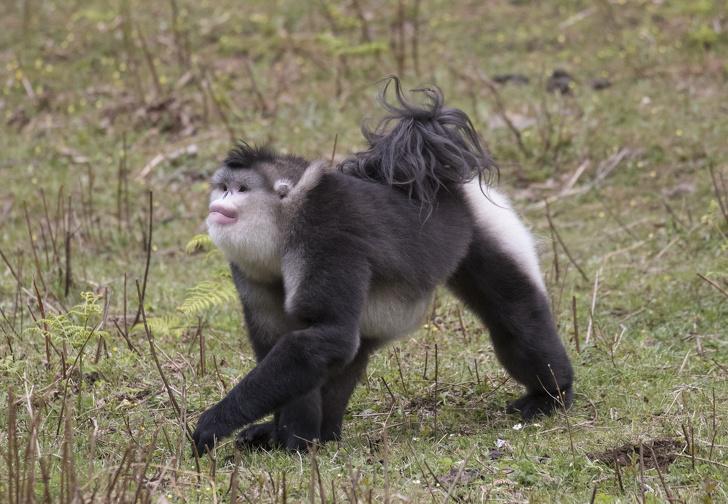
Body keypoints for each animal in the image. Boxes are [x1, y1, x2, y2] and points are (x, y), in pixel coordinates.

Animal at [195, 77, 576, 454]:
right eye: (223, 187)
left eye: (240, 189)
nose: (219, 204)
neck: (286, 222)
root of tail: (445, 183)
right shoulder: (250, 269)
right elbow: (286, 339)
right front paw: (283, 437)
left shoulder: (326, 238)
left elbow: (328, 334)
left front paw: (223, 426)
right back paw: (323, 434)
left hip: (487, 225)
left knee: (514, 315)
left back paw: (551, 396)